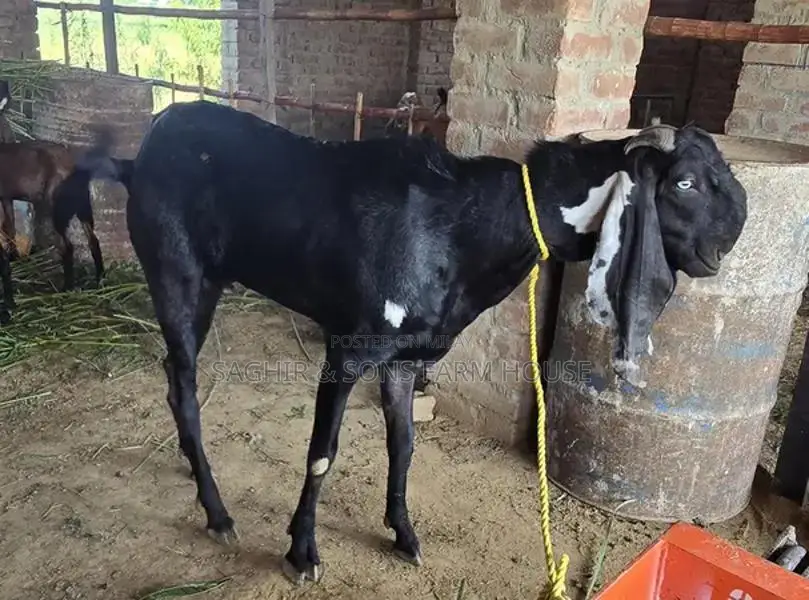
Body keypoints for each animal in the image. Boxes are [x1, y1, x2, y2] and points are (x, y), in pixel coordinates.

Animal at [78, 100, 747, 584]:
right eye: (685, 183)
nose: (730, 239)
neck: (461, 227)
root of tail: (142, 153)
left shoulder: (407, 358)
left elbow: (403, 446)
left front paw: (403, 534)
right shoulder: (348, 346)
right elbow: (322, 453)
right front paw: (302, 553)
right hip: (176, 271)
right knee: (182, 380)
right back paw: (217, 513)